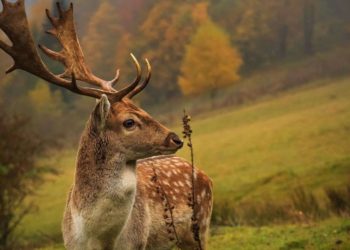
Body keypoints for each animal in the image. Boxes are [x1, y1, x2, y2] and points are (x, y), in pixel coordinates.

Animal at [0, 0, 213, 249]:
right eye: (129, 122)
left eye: (143, 109)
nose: (175, 138)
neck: (101, 240)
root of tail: (203, 174)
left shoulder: (137, 243)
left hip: (201, 226)